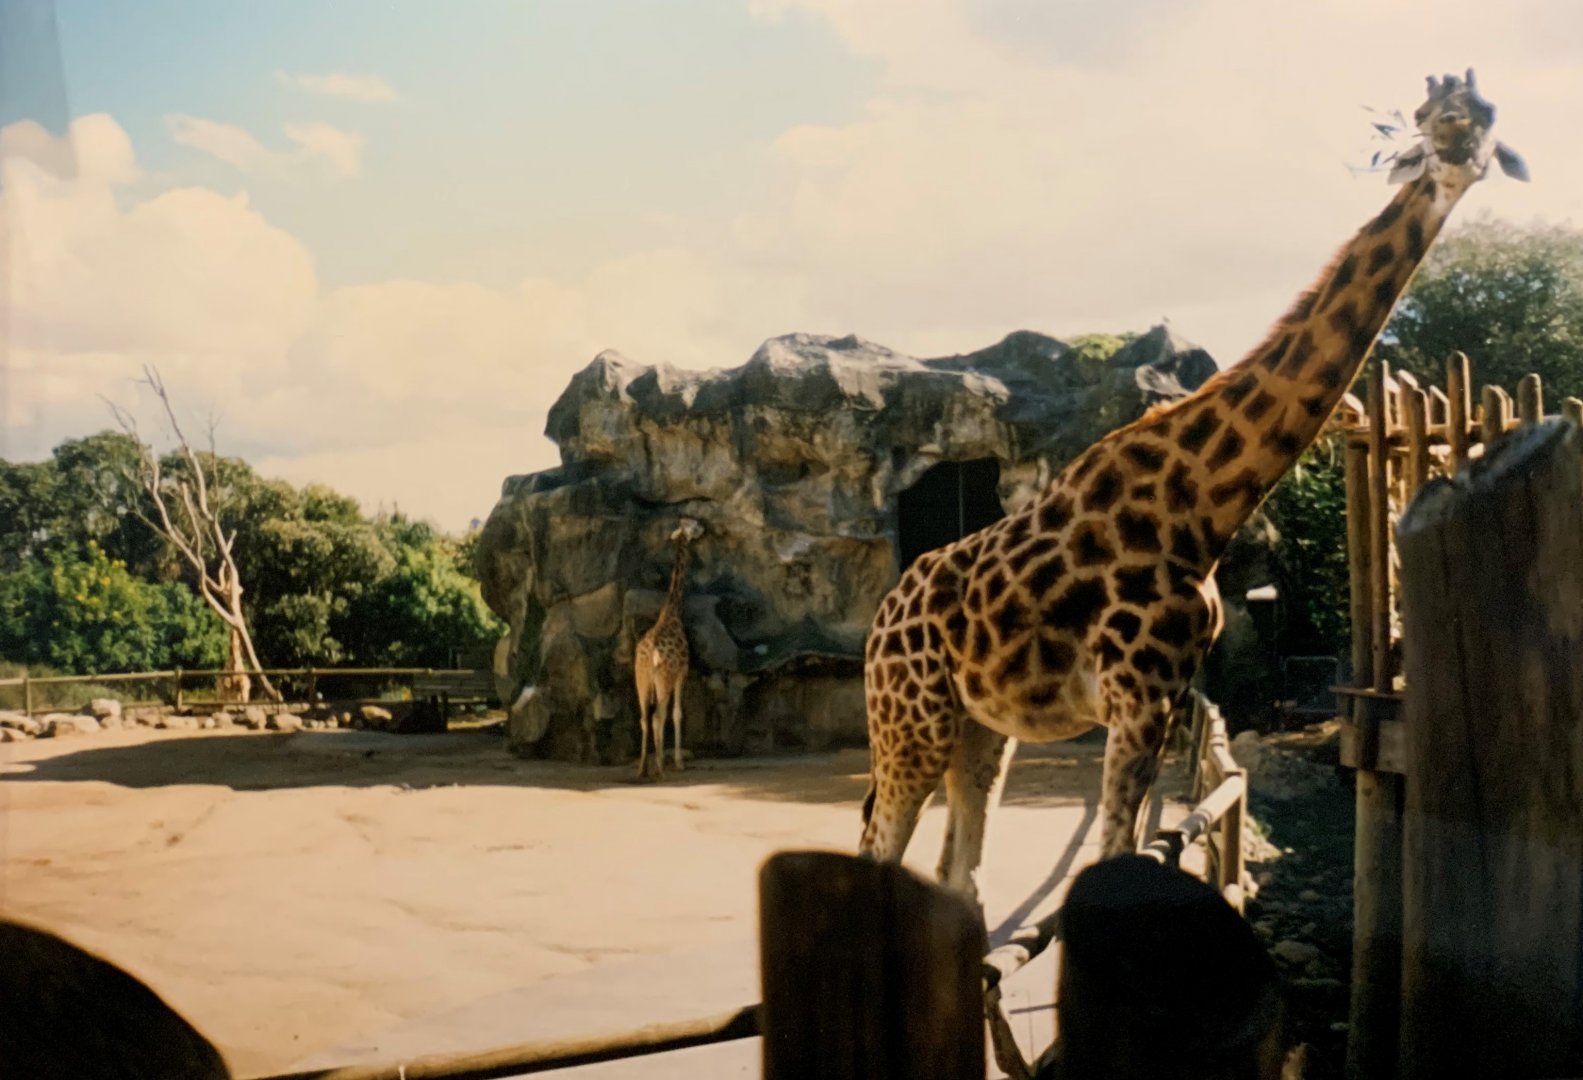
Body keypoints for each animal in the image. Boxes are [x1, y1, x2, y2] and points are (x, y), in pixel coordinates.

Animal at [634, 517, 705, 779]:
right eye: (694, 525)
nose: (704, 528)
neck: (672, 610)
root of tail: (649, 656)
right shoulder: (682, 672)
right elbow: (676, 714)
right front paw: (677, 761)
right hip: (662, 679)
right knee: (657, 715)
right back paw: (660, 768)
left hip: (641, 679)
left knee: (645, 717)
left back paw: (643, 768)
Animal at [858, 71, 1525, 911]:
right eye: (1437, 120)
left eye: (1488, 119)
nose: (1464, 160)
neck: (1202, 503)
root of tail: (878, 624)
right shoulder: (1135, 692)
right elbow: (1109, 859)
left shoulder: (1167, 695)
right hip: (907, 719)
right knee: (879, 845)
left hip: (978, 725)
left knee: (957, 873)